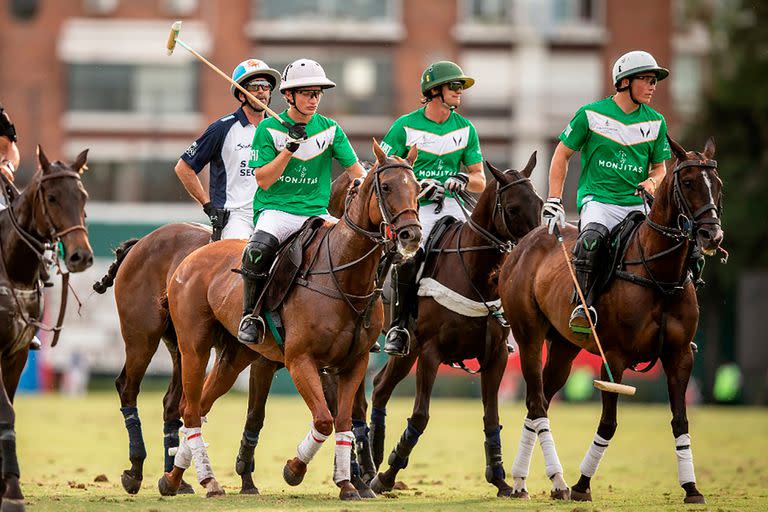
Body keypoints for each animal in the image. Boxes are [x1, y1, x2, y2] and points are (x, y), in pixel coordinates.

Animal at [0, 146, 93, 510]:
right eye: (51, 197)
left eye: (83, 196)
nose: (81, 256)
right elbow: (6, 414)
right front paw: (11, 491)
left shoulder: (16, 355)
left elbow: (8, 412)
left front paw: (7, 484)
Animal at [92, 171, 360, 496]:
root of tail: (141, 241)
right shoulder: (268, 361)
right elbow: (256, 416)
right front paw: (247, 477)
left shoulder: (322, 362)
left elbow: (341, 413)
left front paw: (357, 479)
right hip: (142, 336)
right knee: (129, 387)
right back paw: (136, 469)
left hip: (181, 346)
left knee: (173, 403)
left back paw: (177, 477)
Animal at [160, 141, 424, 500]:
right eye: (385, 187)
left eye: (418, 188)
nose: (412, 235)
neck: (343, 275)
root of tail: (188, 260)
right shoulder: (300, 359)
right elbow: (324, 420)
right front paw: (294, 470)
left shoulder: (353, 363)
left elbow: (344, 423)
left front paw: (347, 485)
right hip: (194, 348)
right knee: (189, 410)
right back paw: (203, 480)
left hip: (235, 356)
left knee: (200, 407)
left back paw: (177, 479)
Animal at [364, 153, 540, 496]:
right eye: (513, 208)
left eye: (540, 204)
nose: (539, 246)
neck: (475, 272)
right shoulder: (431, 352)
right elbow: (420, 416)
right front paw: (389, 474)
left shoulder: (496, 355)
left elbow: (491, 416)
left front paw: (500, 479)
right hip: (407, 345)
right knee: (377, 387)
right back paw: (373, 466)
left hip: (409, 352)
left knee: (378, 387)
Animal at [498, 137, 728, 504]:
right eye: (689, 182)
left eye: (717, 184)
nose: (712, 237)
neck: (660, 274)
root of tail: (527, 239)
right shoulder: (615, 356)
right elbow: (608, 422)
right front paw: (582, 485)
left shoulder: (680, 356)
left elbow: (681, 421)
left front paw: (692, 488)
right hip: (529, 336)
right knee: (536, 401)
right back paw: (555, 481)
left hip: (563, 347)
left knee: (539, 401)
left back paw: (523, 481)